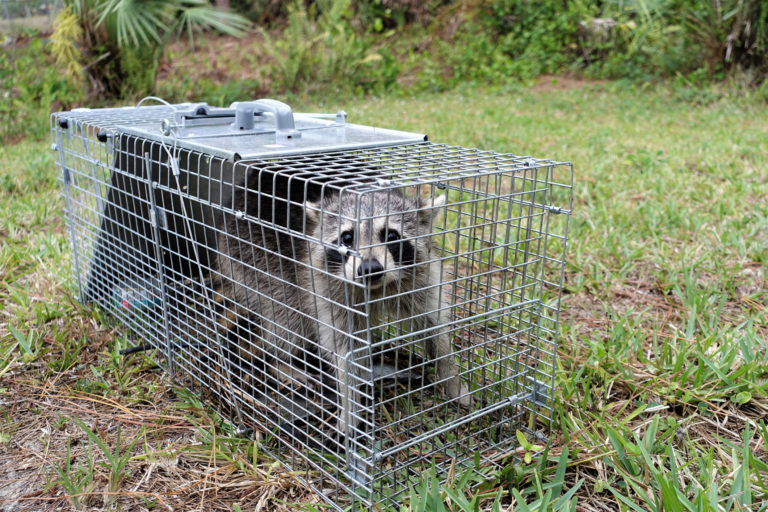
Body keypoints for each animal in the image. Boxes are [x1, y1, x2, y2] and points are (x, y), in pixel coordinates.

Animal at [213, 180, 472, 432]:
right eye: (347, 238)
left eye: (391, 236)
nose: (369, 268)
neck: (376, 290)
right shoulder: (326, 291)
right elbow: (343, 348)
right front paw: (350, 407)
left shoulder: (420, 280)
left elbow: (434, 327)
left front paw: (452, 379)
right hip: (253, 261)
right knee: (287, 320)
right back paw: (279, 361)